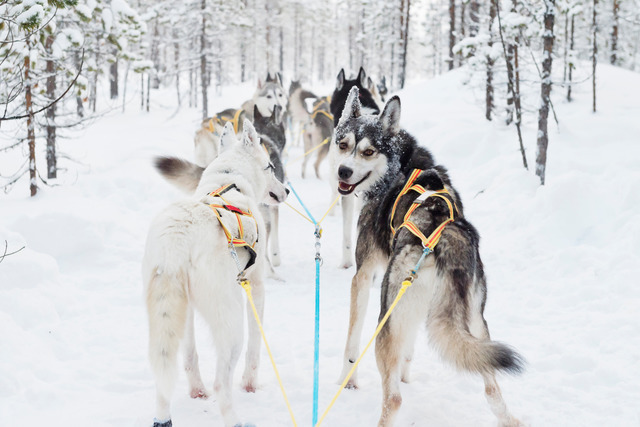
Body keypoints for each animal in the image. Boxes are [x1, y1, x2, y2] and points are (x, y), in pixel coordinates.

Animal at [145, 121, 288, 427]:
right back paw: (235, 419)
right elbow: (255, 349)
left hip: (171, 314)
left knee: (175, 366)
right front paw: (250, 385)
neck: (230, 180)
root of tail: (178, 239)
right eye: (270, 166)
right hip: (230, 322)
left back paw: (180, 405)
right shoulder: (255, 285)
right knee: (222, 382)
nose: (286, 191)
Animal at [332, 88, 524, 427]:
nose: (343, 171)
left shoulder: (363, 277)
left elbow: (351, 345)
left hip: (388, 313)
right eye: (343, 144)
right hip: (474, 323)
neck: (399, 165)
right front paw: (406, 372)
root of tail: (445, 238)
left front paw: (346, 382)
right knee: (491, 389)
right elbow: (407, 348)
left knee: (393, 399)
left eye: (368, 152)